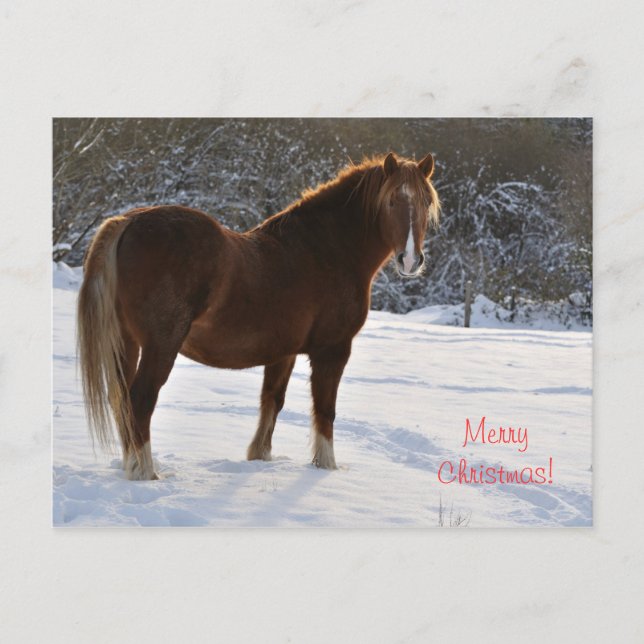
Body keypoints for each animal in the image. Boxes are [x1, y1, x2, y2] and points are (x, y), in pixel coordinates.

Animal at [77, 152, 440, 480]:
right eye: (391, 201)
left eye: (425, 202)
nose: (410, 260)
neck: (326, 250)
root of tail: (129, 221)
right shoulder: (332, 351)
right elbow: (325, 411)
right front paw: (326, 467)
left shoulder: (283, 353)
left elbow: (272, 402)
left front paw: (259, 457)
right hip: (160, 346)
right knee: (140, 400)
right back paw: (147, 473)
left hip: (125, 342)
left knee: (121, 400)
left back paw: (131, 466)